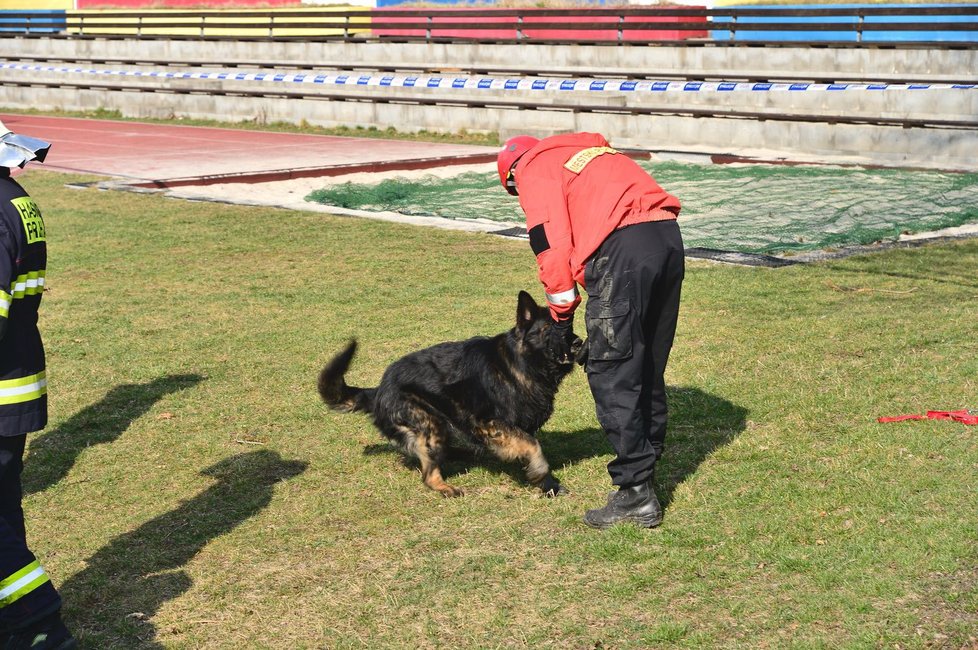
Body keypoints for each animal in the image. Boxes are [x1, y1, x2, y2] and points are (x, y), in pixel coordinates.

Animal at [318, 290, 580, 496]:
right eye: (549, 329)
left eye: (568, 327)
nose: (579, 343)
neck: (520, 363)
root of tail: (379, 389)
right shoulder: (488, 422)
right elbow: (534, 446)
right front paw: (540, 474)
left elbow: (529, 444)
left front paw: (549, 486)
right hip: (430, 424)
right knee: (428, 474)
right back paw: (446, 487)